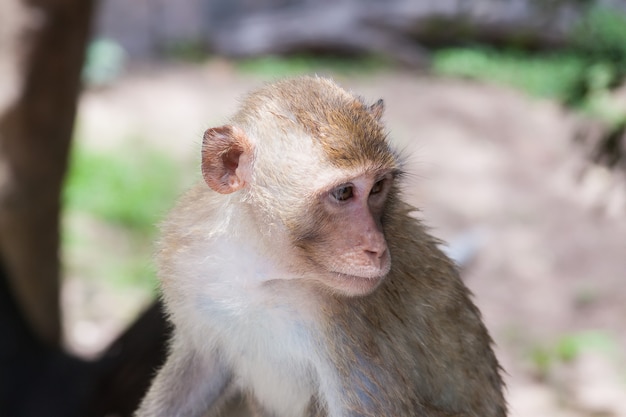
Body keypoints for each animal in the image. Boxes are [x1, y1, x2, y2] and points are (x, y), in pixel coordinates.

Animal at [134, 75, 504, 416]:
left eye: (378, 187)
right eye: (344, 192)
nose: (377, 248)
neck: (263, 269)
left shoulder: (351, 327)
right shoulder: (185, 257)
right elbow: (199, 367)